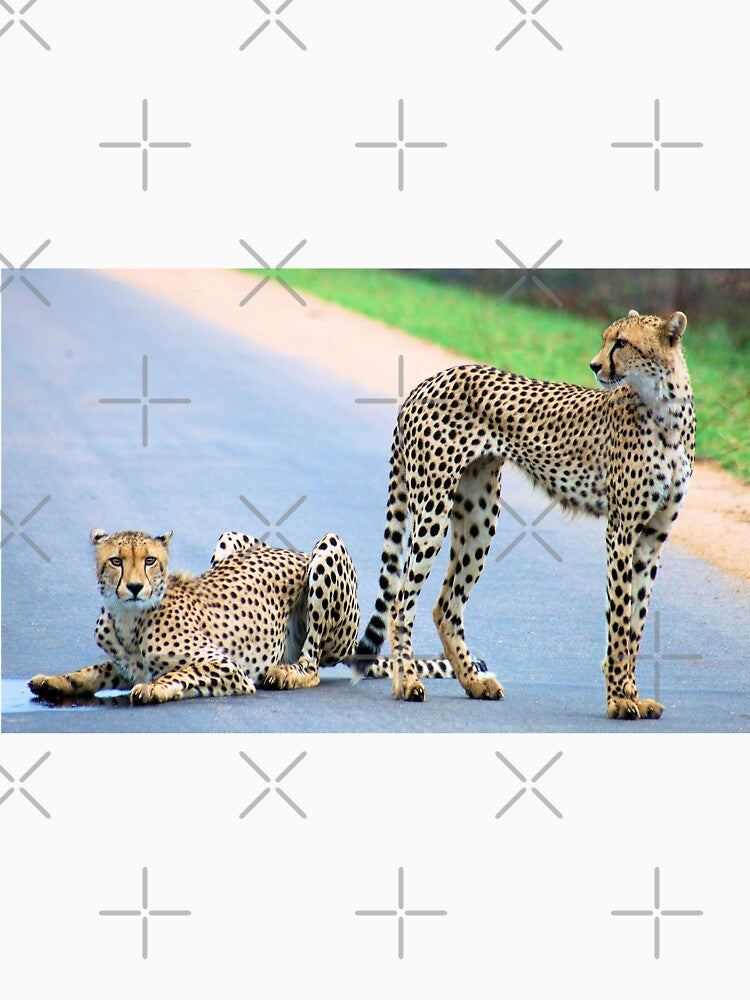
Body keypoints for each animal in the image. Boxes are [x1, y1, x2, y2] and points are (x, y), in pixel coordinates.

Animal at [354, 309, 695, 719]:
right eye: (607, 339)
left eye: (622, 342)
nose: (595, 365)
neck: (665, 407)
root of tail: (428, 380)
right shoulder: (621, 532)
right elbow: (620, 617)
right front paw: (618, 699)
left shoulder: (652, 539)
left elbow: (636, 622)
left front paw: (632, 694)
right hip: (433, 505)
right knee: (401, 600)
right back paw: (407, 682)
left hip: (479, 516)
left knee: (445, 605)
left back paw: (474, 681)